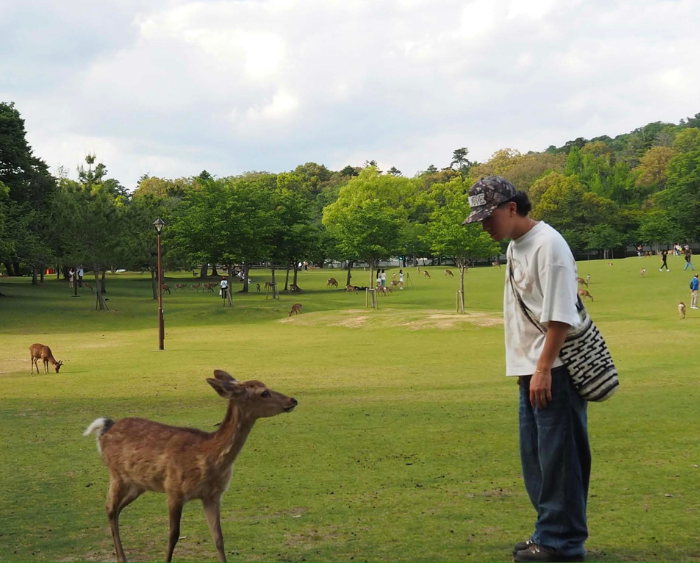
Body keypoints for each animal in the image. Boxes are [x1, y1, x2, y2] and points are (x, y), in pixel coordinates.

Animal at [83, 370, 297, 563]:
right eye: (264, 392)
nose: (293, 400)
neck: (208, 458)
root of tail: (105, 429)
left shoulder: (212, 496)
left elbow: (218, 538)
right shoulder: (174, 491)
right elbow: (173, 536)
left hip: (138, 484)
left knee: (117, 509)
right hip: (117, 475)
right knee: (110, 508)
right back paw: (121, 558)